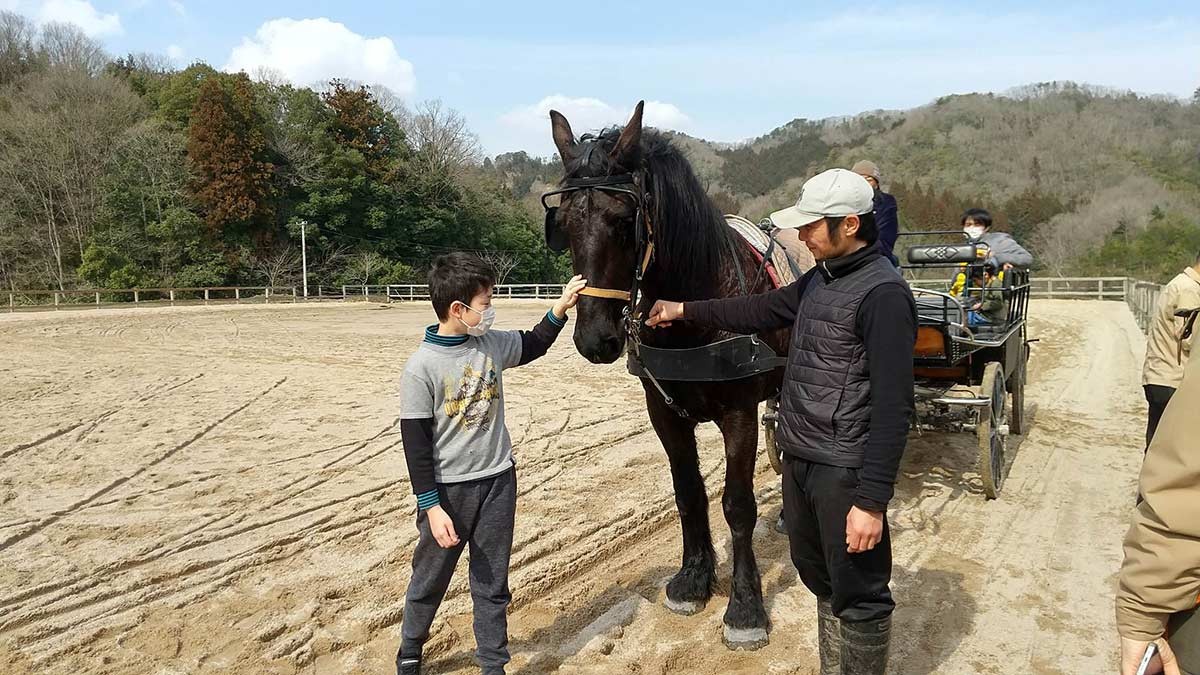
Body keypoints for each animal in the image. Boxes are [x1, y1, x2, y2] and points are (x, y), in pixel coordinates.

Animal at [549, 100, 792, 648]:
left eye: (625, 222)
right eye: (566, 224)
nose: (595, 339)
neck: (697, 306)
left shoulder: (740, 413)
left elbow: (737, 505)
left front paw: (746, 607)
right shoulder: (663, 413)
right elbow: (688, 494)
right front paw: (694, 579)